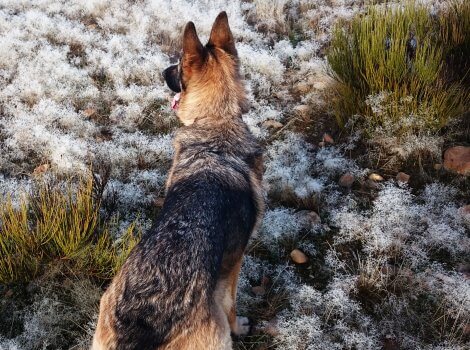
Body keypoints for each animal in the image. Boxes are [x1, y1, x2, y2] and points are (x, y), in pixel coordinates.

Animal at [92, 11, 264, 350]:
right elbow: (232, 303)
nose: (161, 70)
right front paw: (241, 325)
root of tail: (146, 321)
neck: (216, 123)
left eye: (178, 64)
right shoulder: (233, 266)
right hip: (216, 336)